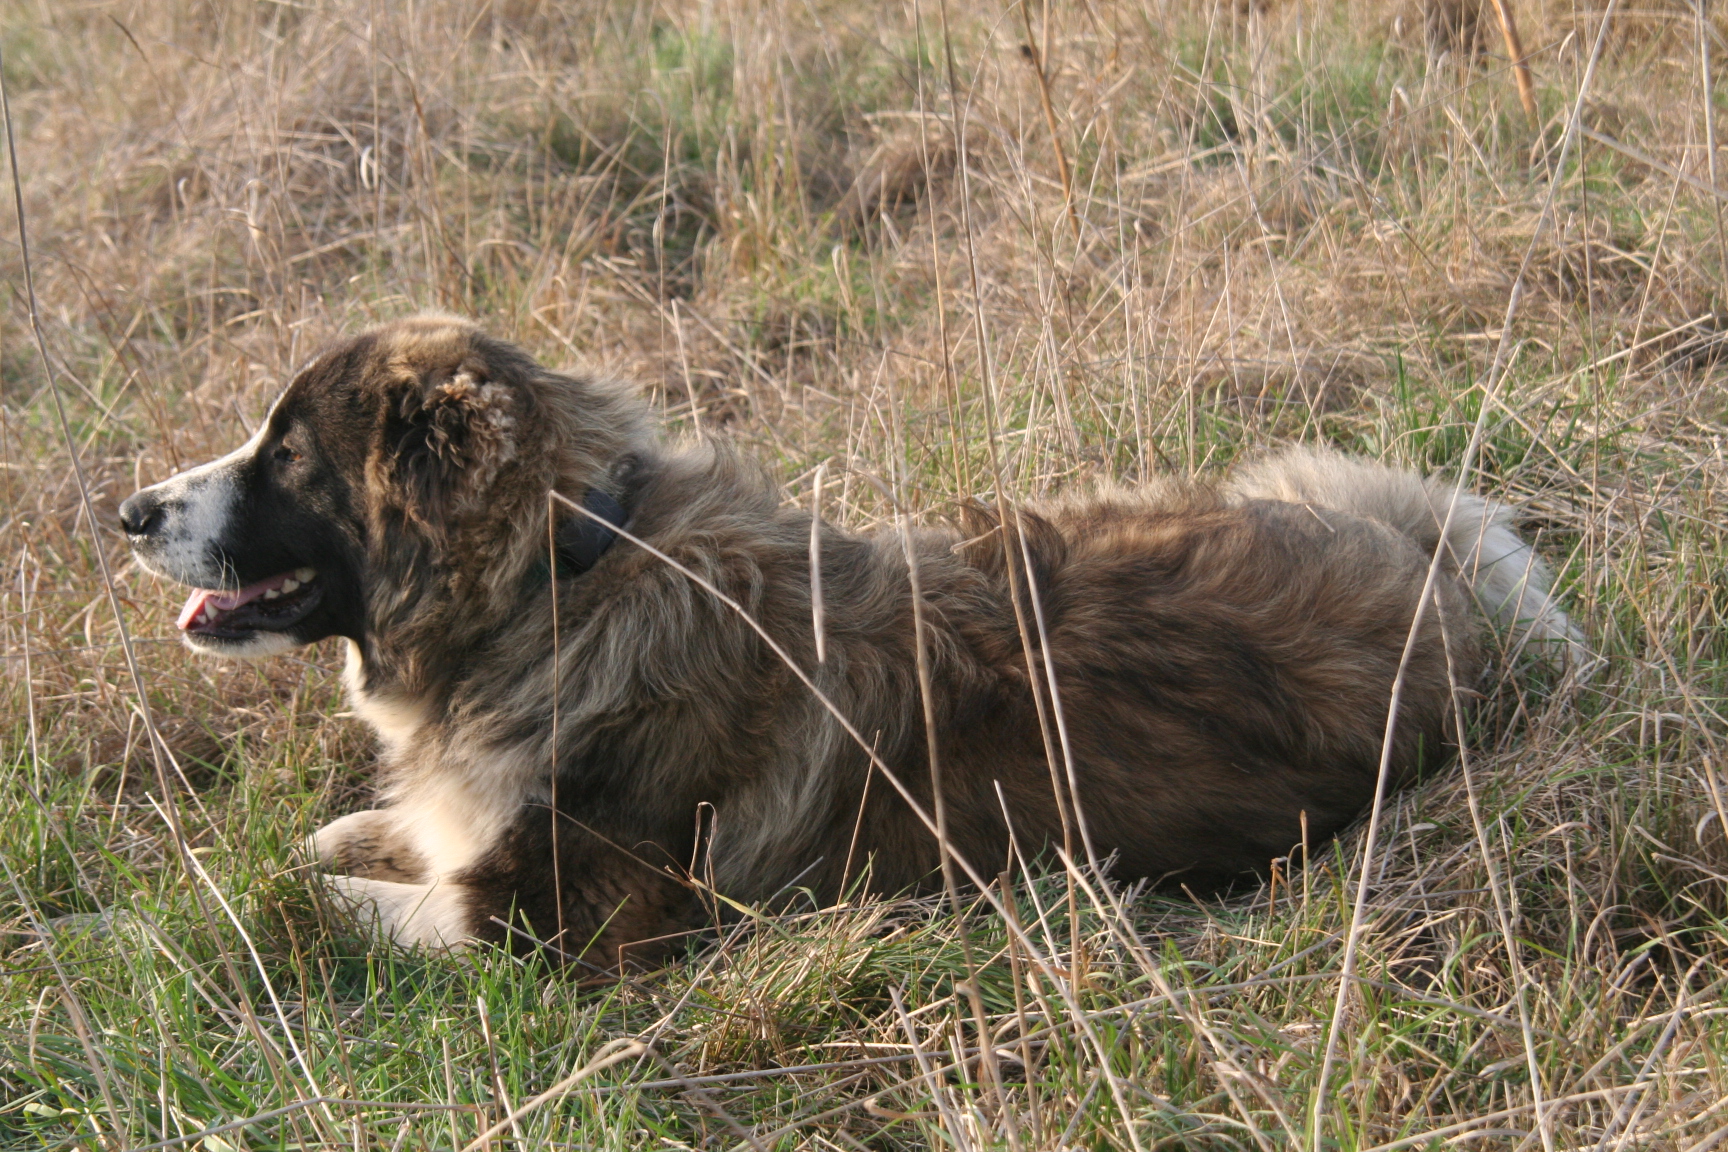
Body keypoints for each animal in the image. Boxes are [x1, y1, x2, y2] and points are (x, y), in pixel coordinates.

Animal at [118, 312, 1582, 967]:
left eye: (286, 458)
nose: (125, 512)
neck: (559, 577)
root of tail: (1436, 590)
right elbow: (343, 837)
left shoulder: (553, 927)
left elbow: (304, 894)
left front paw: (177, 918)